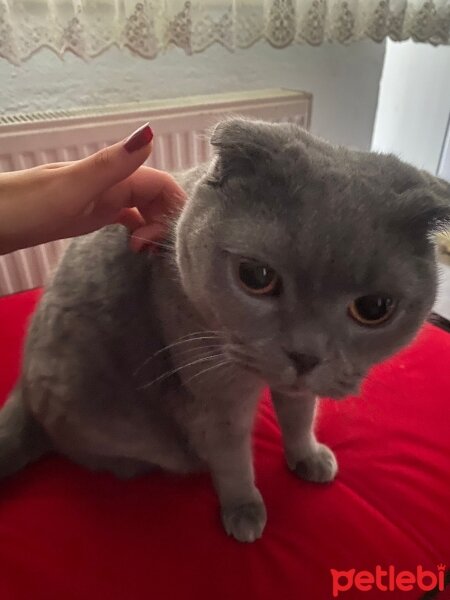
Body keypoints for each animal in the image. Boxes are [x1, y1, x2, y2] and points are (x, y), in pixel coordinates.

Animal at [0, 118, 450, 544]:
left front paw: (308, 458)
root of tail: (22, 390)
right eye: (257, 276)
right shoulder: (212, 396)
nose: (305, 354)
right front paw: (244, 510)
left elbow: (300, 416)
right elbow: (232, 458)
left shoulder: (296, 389)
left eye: (374, 309)